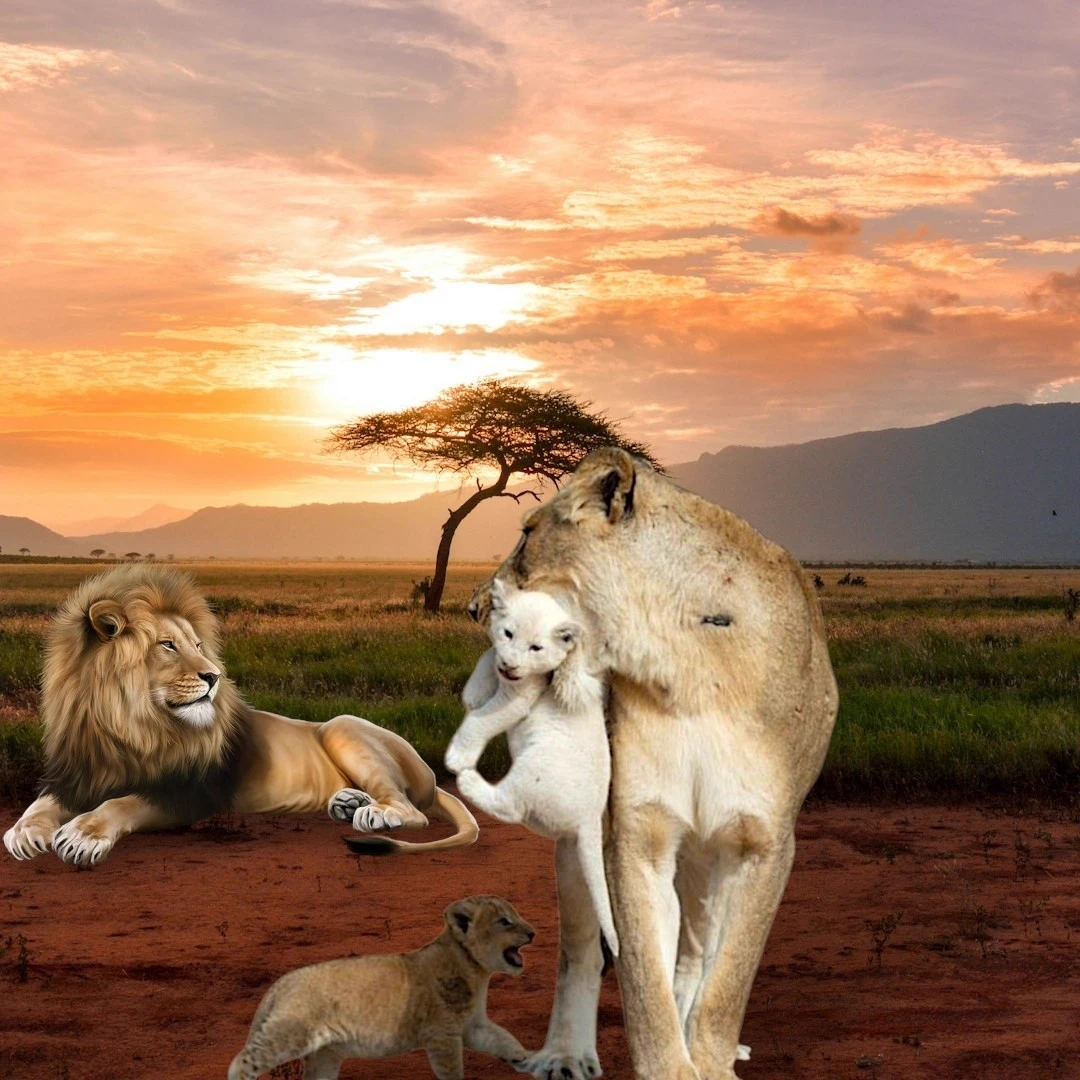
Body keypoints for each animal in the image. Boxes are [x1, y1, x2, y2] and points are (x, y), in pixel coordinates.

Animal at [2, 564, 478, 867]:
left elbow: (124, 801)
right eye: (167, 645)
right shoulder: (80, 774)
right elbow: (41, 804)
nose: (214, 676)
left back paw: (373, 812)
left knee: (411, 810)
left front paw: (83, 833)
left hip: (343, 726)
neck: (129, 725)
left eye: (196, 644)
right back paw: (348, 802)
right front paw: (24, 832)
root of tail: (431, 775)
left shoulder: (190, 792)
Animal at [228, 895, 535, 1080]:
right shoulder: (440, 1035)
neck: (475, 969)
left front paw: (527, 1059)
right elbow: (453, 1071)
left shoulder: (473, 1026)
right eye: (504, 921)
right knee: (241, 1063)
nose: (533, 932)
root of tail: (280, 984)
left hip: (324, 1053)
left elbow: (503, 1039)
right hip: (290, 1034)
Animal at [470, 447, 838, 1080]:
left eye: (527, 533)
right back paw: (566, 1054)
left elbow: (725, 982)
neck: (689, 668)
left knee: (696, 953)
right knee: (580, 948)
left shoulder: (767, 844)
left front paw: (710, 1059)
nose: (474, 608)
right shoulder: (636, 833)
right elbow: (644, 979)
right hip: (583, 836)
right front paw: (670, 1063)